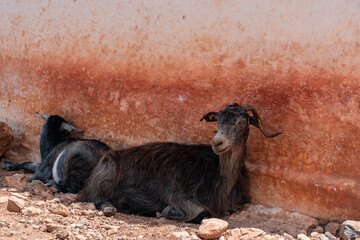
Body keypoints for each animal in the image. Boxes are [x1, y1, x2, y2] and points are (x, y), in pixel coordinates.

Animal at [78, 103, 282, 223]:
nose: (217, 142)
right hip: (106, 169)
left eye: (242, 122)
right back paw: (109, 207)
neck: (219, 175)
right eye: (217, 121)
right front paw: (164, 212)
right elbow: (202, 213)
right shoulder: (179, 194)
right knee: (94, 196)